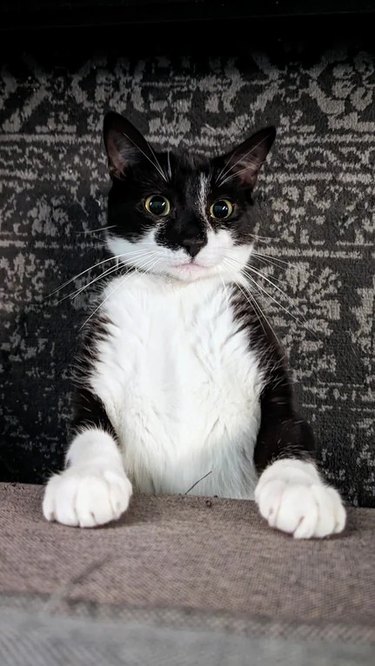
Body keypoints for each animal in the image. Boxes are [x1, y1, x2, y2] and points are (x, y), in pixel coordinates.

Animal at [42, 109, 348, 536]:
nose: (192, 240)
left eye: (221, 208)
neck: (177, 297)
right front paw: (87, 482)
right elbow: (88, 428)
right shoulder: (104, 352)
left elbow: (288, 427)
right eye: (157, 204)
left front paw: (300, 491)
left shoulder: (256, 346)